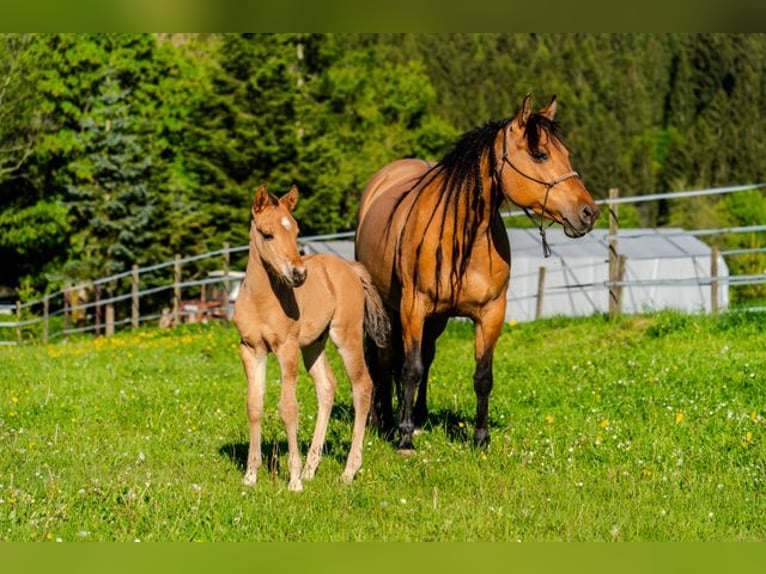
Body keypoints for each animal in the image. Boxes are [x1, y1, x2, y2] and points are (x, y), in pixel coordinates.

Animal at [233, 185, 390, 491]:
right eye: (267, 234)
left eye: (296, 231)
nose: (299, 274)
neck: (260, 301)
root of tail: (351, 268)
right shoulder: (251, 350)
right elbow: (254, 406)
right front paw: (250, 475)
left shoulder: (287, 348)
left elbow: (288, 408)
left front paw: (293, 480)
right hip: (314, 345)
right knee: (327, 386)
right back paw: (311, 467)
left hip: (346, 336)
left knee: (362, 386)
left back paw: (348, 471)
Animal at [355, 94, 600, 451]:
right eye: (540, 154)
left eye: (565, 154)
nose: (589, 213)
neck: (462, 235)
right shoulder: (413, 307)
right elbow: (410, 369)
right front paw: (404, 438)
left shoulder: (491, 312)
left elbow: (482, 376)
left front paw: (480, 438)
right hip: (386, 307)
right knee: (384, 359)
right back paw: (384, 421)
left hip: (436, 319)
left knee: (425, 355)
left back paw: (418, 418)